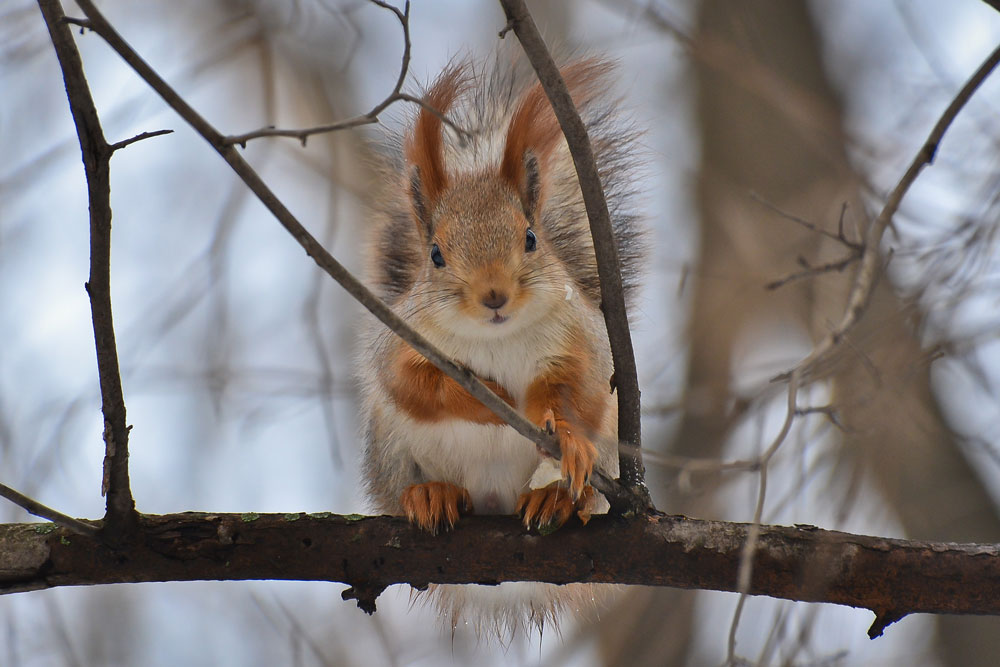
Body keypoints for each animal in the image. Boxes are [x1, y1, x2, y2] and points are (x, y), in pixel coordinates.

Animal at [356, 51, 644, 636]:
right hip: (389, 449)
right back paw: (430, 493)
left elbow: (578, 392)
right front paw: (491, 401)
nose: (494, 295)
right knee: (407, 481)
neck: (495, 337)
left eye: (530, 238)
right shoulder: (397, 345)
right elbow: (411, 386)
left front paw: (558, 430)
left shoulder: (580, 339)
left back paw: (556, 497)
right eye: (436, 254)